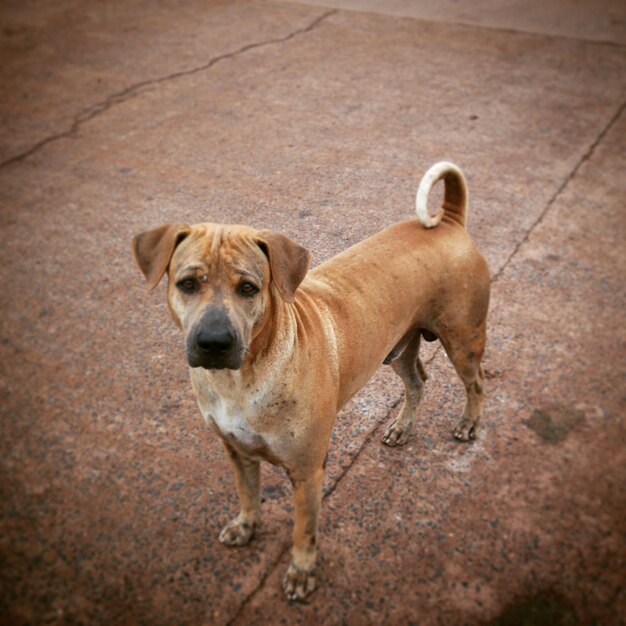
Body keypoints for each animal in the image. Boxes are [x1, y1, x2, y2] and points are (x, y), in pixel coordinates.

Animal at [132, 161, 490, 600]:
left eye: (248, 288)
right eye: (187, 283)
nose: (214, 342)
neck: (240, 381)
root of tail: (450, 221)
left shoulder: (307, 471)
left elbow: (304, 530)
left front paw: (302, 572)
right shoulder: (236, 451)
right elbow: (248, 493)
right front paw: (246, 525)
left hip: (463, 339)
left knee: (475, 383)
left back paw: (469, 423)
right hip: (398, 347)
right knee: (418, 380)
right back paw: (402, 428)